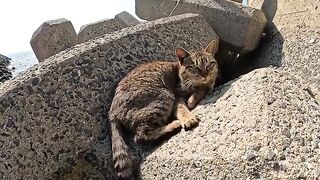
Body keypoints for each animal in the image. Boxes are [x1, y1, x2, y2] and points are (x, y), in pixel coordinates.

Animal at [109, 39, 219, 179]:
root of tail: (111, 111)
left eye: (209, 64)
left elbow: (203, 88)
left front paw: (195, 96)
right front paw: (189, 116)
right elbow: (183, 108)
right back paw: (173, 125)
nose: (205, 74)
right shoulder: (177, 96)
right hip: (164, 96)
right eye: (194, 67)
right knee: (140, 135)